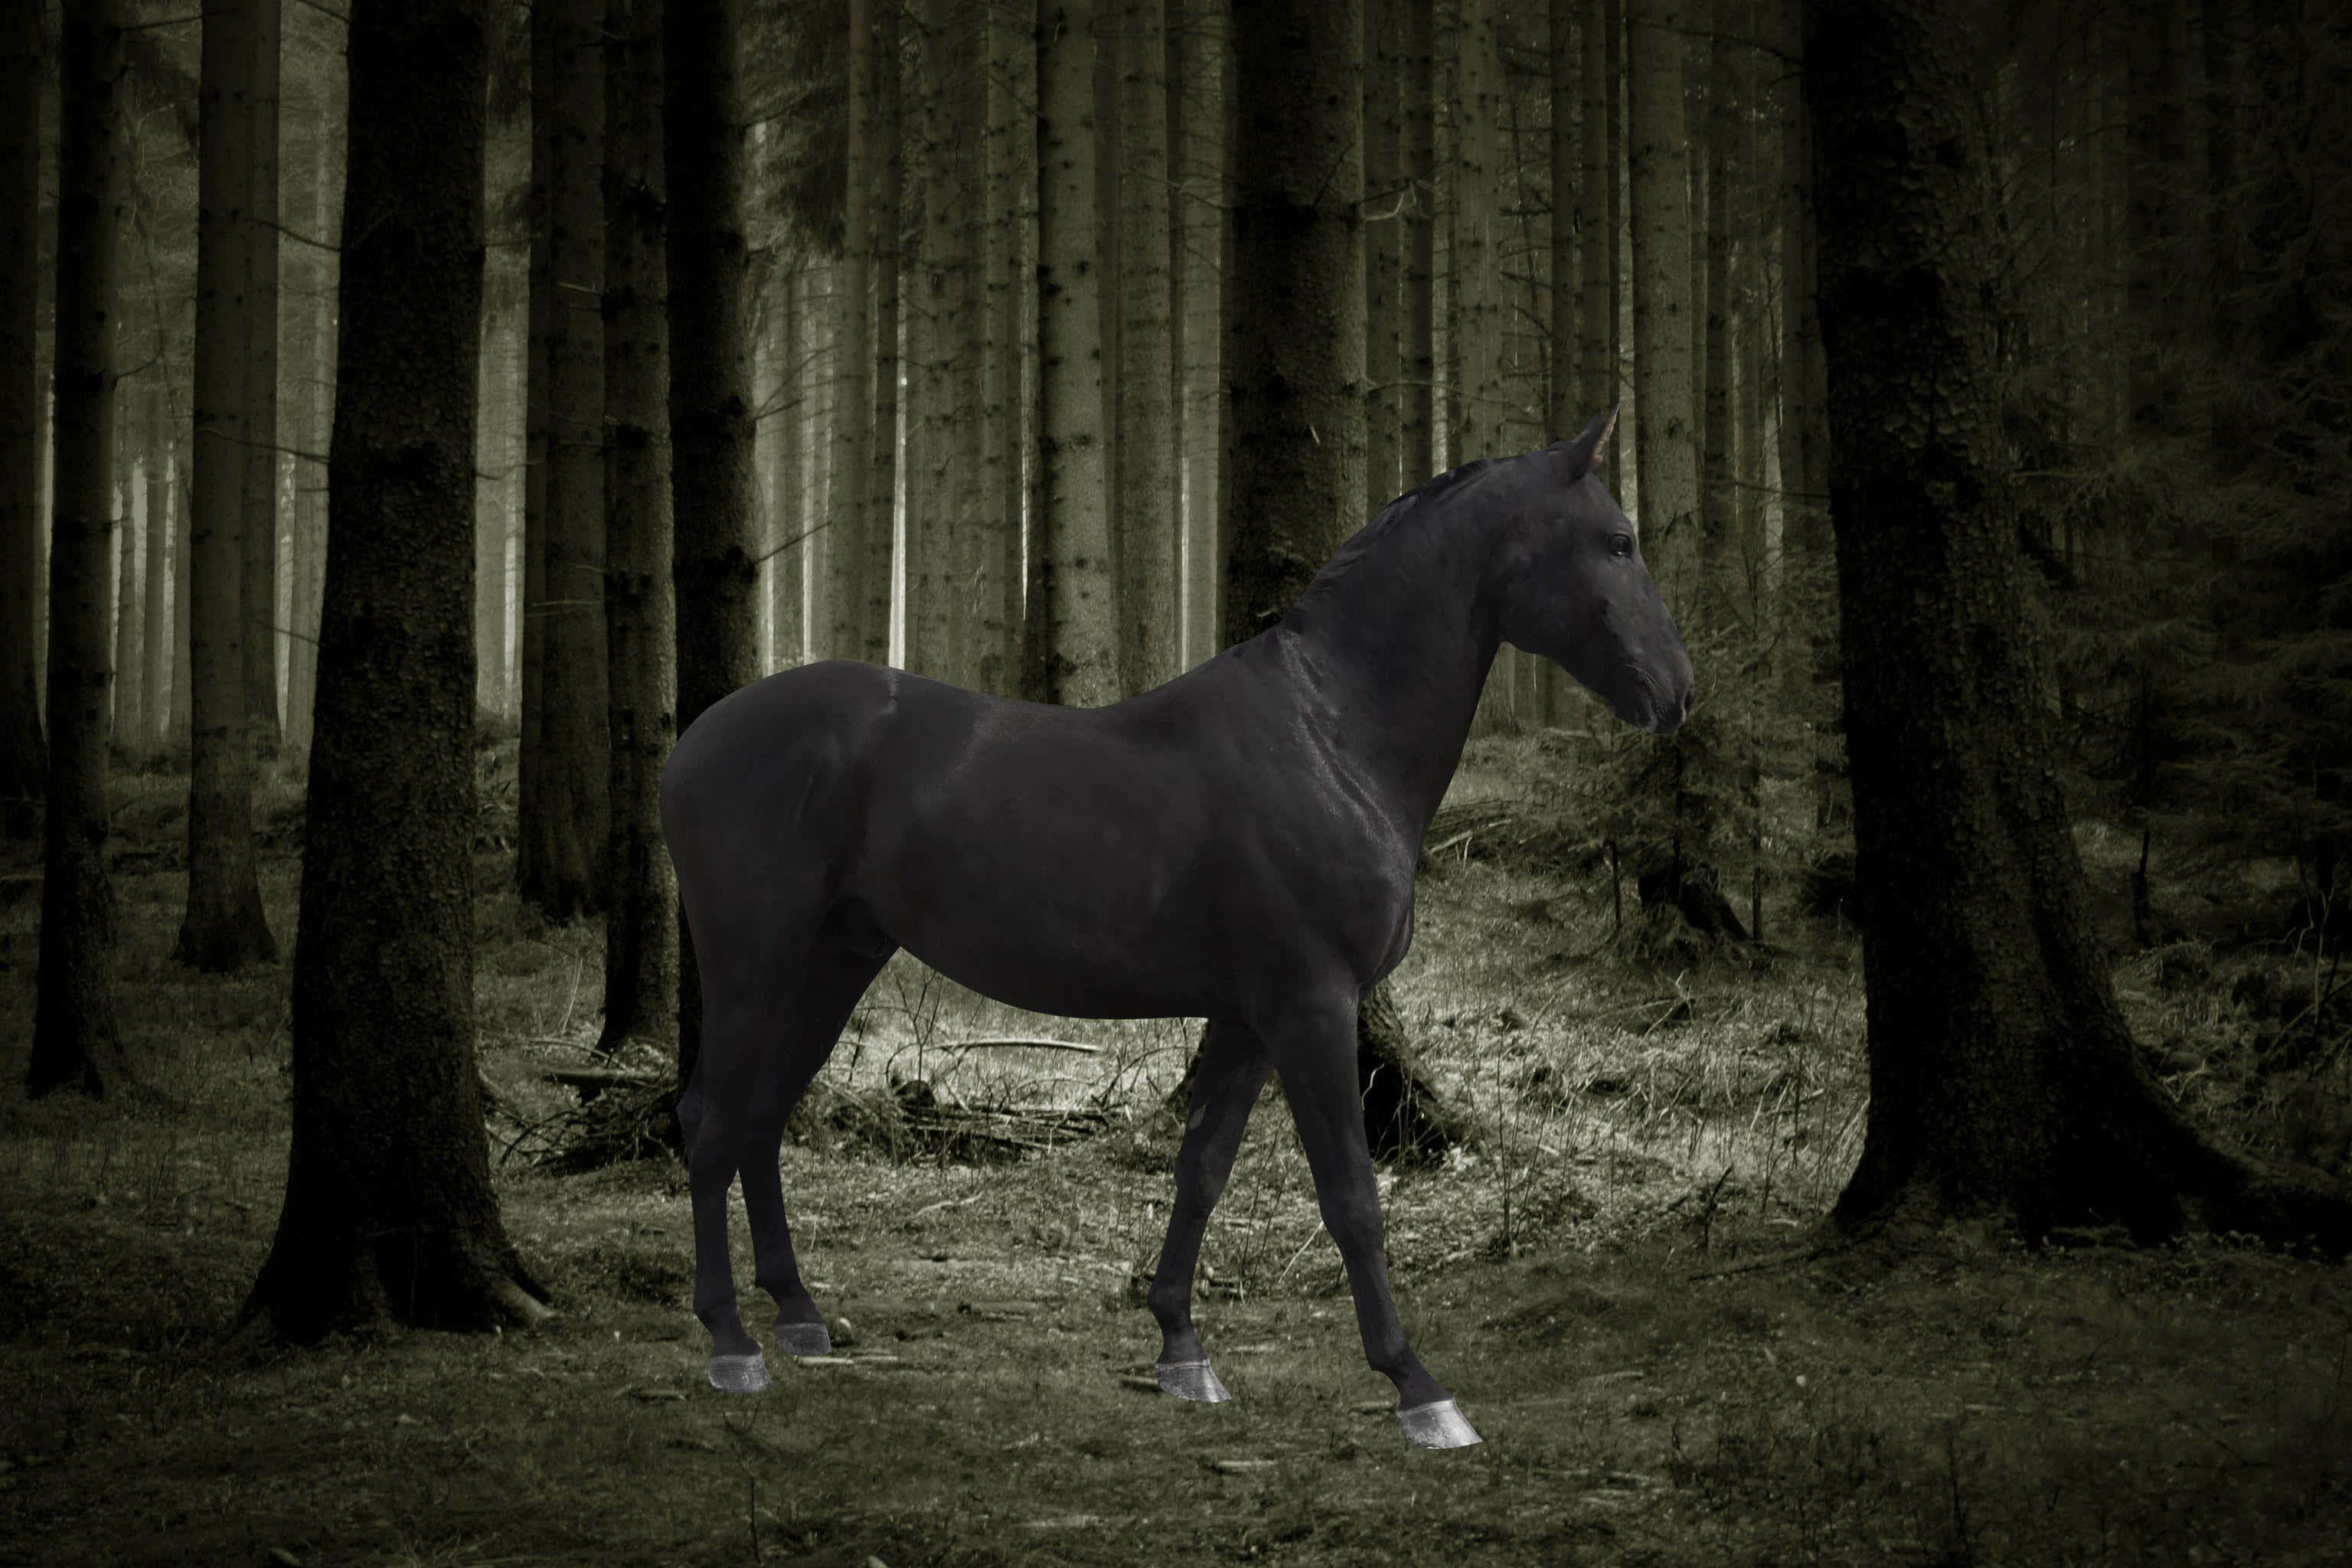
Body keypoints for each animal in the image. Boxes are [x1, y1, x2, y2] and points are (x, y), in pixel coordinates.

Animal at [659, 407, 1692, 1449]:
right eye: (1618, 541)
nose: (1679, 691)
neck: (1331, 734)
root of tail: (693, 743)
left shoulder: (1246, 1016)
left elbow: (1201, 1168)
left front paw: (1182, 1351)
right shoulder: (1311, 1005)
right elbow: (1351, 1198)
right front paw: (1418, 1387)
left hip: (836, 958)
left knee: (760, 1118)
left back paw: (798, 1314)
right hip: (755, 964)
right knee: (712, 1119)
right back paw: (730, 1342)